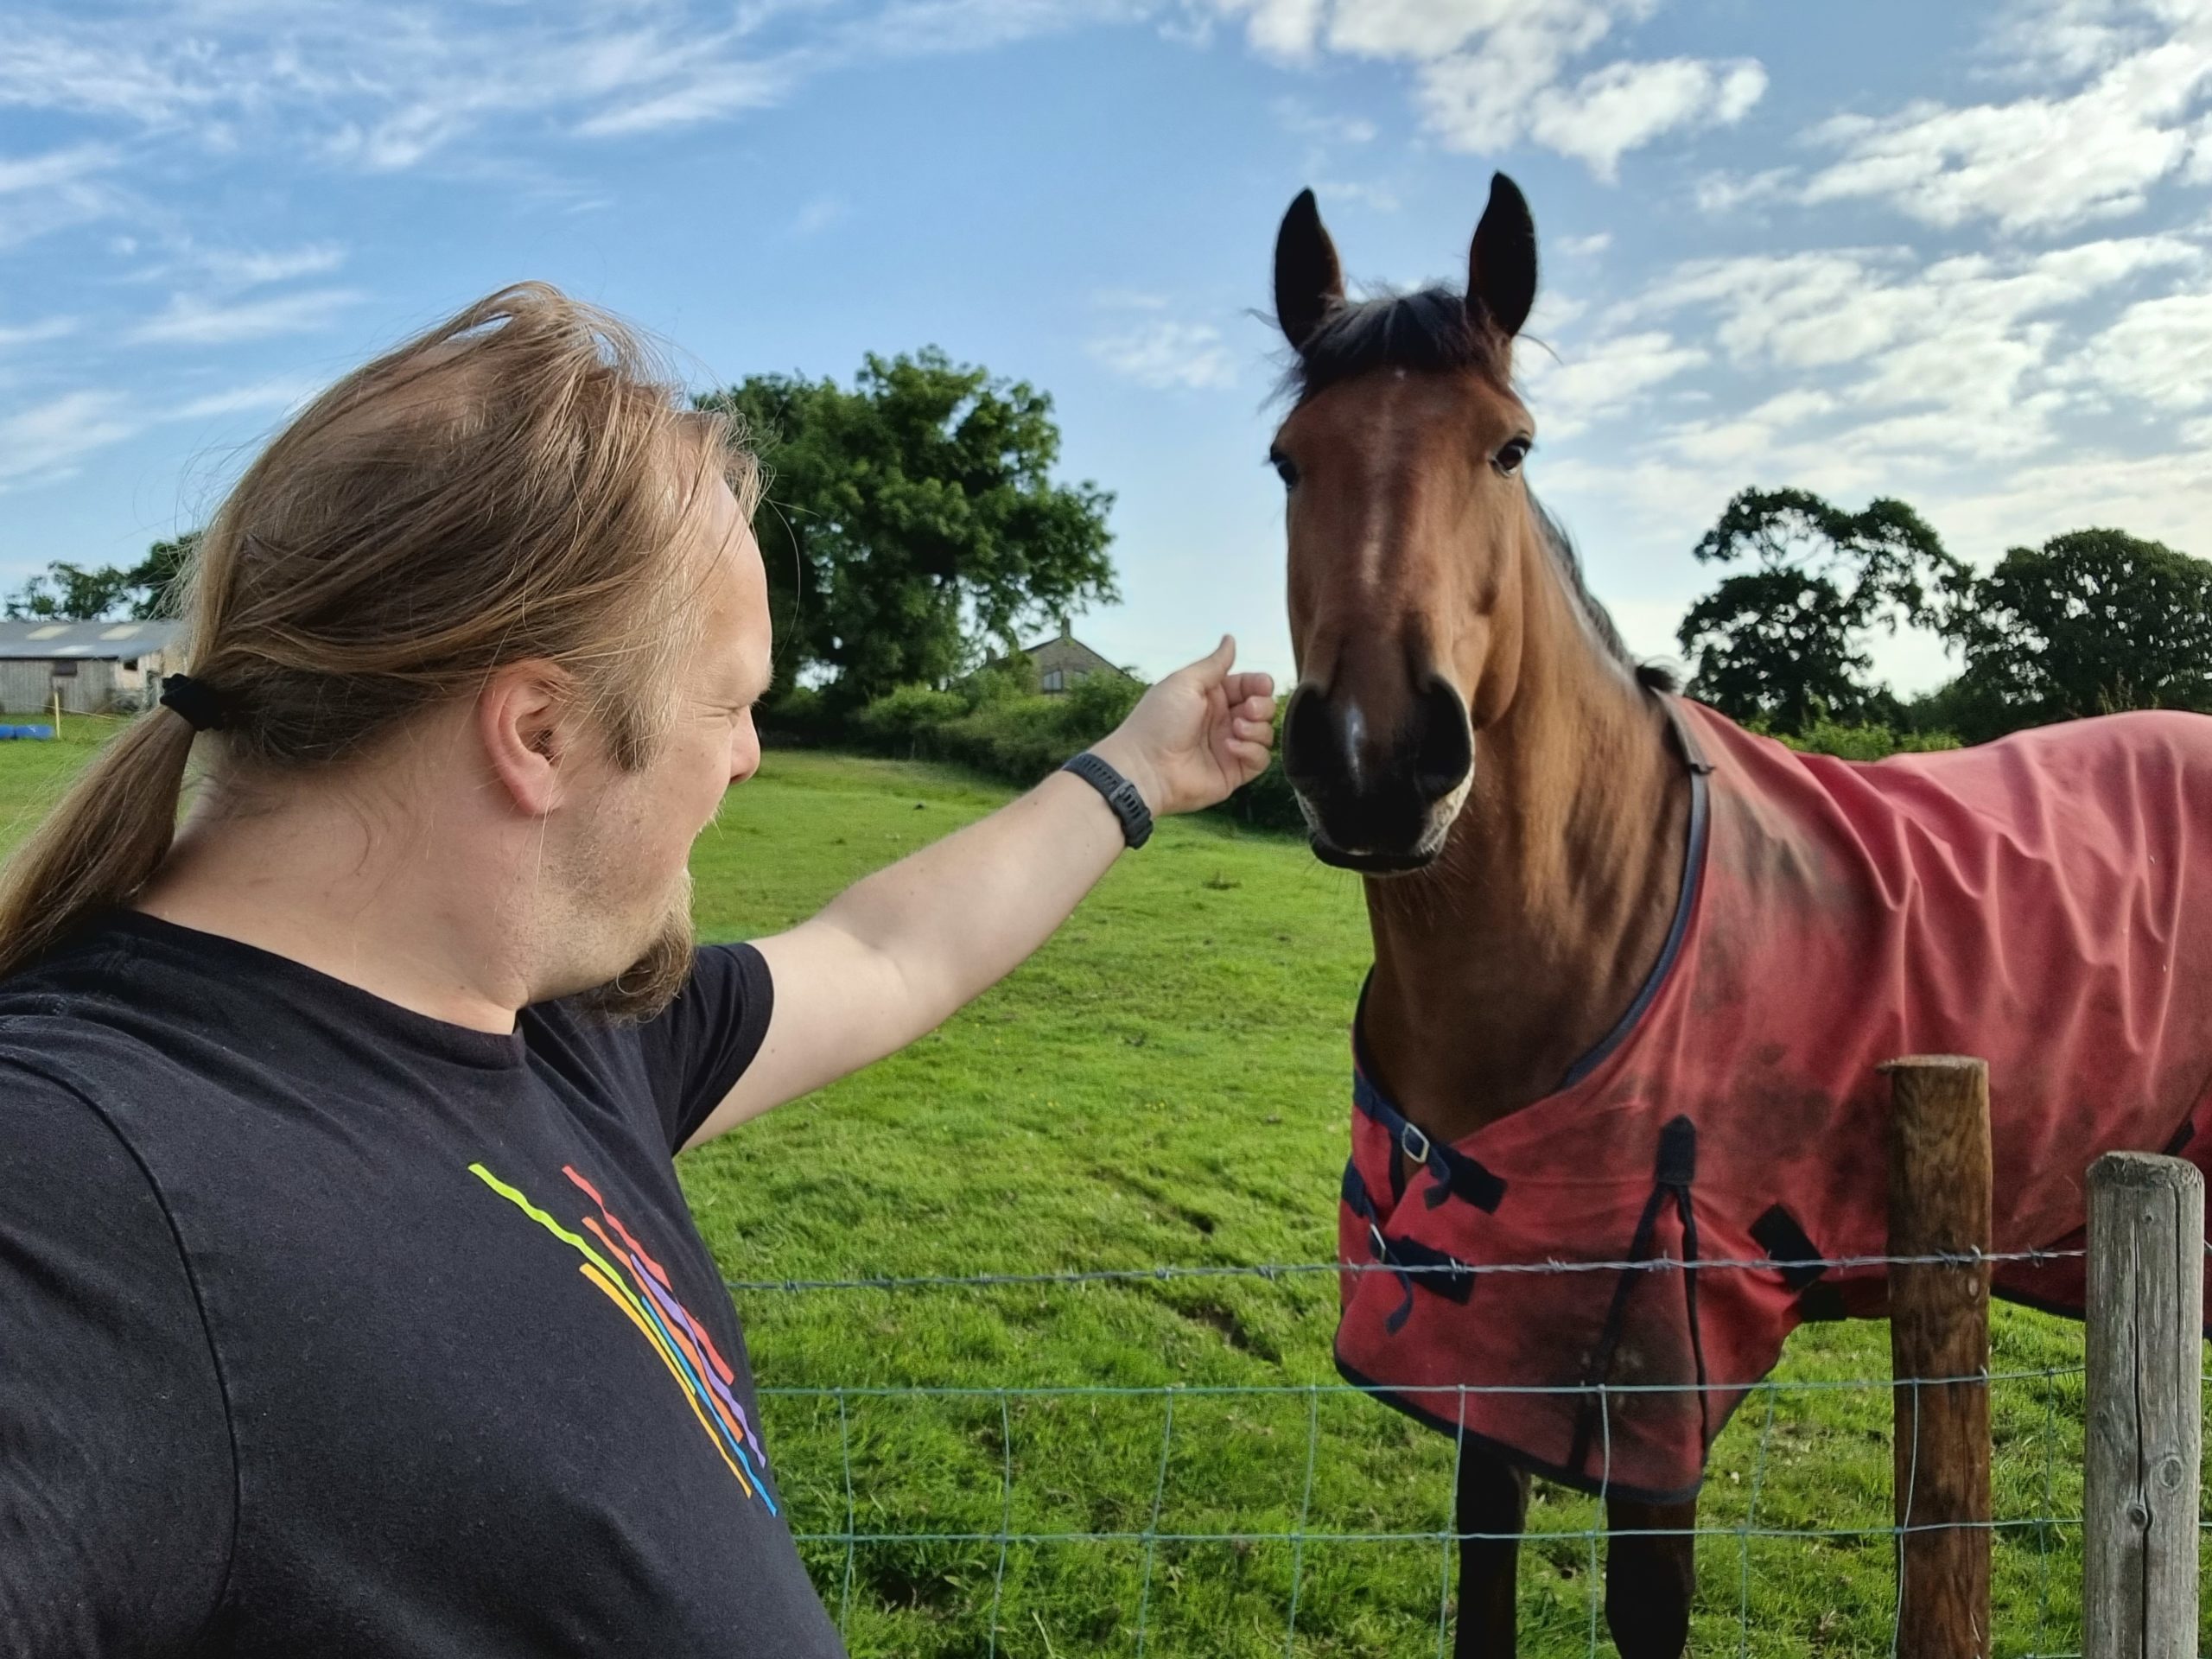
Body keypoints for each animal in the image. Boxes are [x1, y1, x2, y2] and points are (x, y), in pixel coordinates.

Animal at [1267, 174, 2212, 1657]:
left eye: (1509, 450)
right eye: (1288, 462)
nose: (1376, 757)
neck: (1589, 930)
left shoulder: (1661, 1389)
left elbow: (1649, 1609)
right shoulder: (1491, 1363)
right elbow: (1484, 1580)